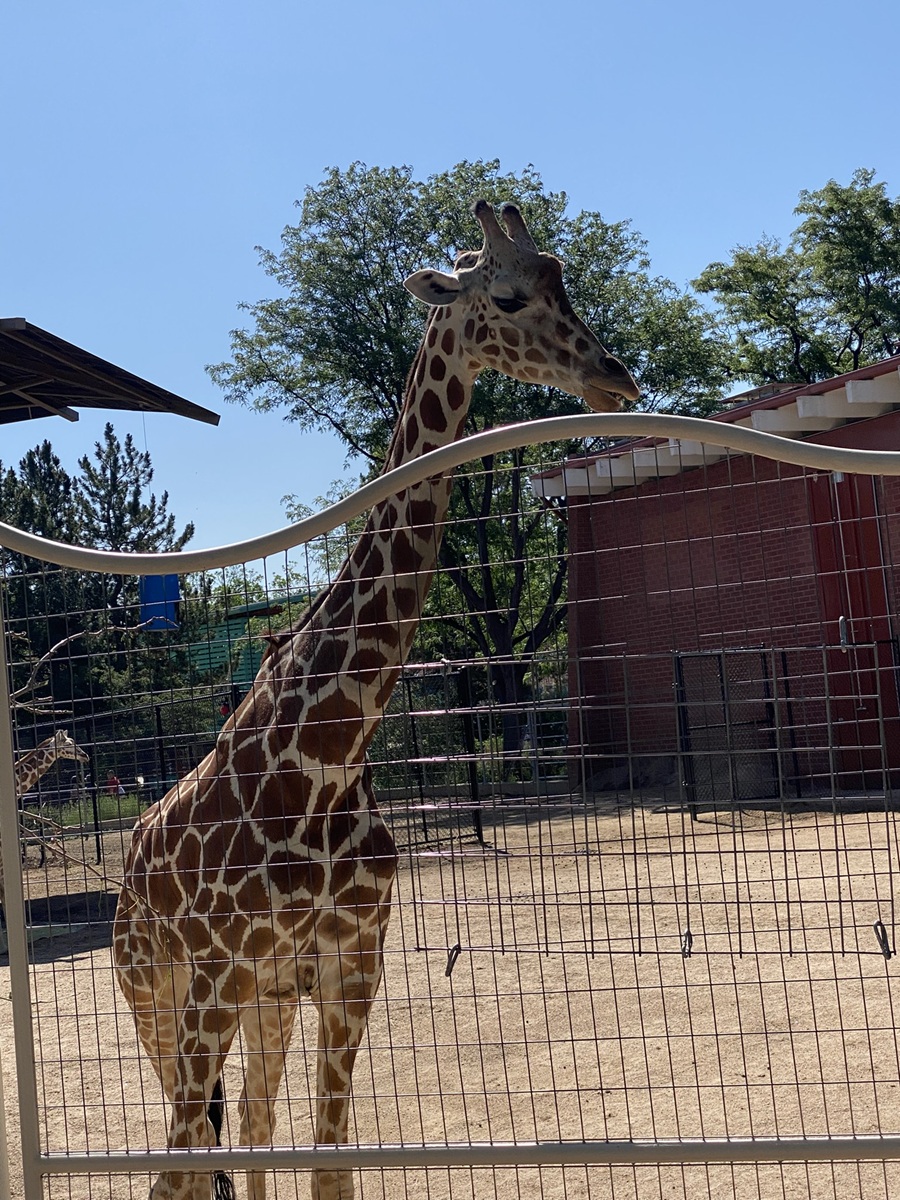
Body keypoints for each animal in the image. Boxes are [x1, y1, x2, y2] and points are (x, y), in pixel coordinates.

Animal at [112, 199, 640, 1200]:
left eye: (563, 279)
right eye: (507, 296)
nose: (615, 378)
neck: (326, 757)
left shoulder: (351, 960)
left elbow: (331, 1161)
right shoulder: (219, 970)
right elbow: (180, 1169)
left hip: (265, 1001)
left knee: (250, 1121)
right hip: (152, 992)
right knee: (191, 1146)